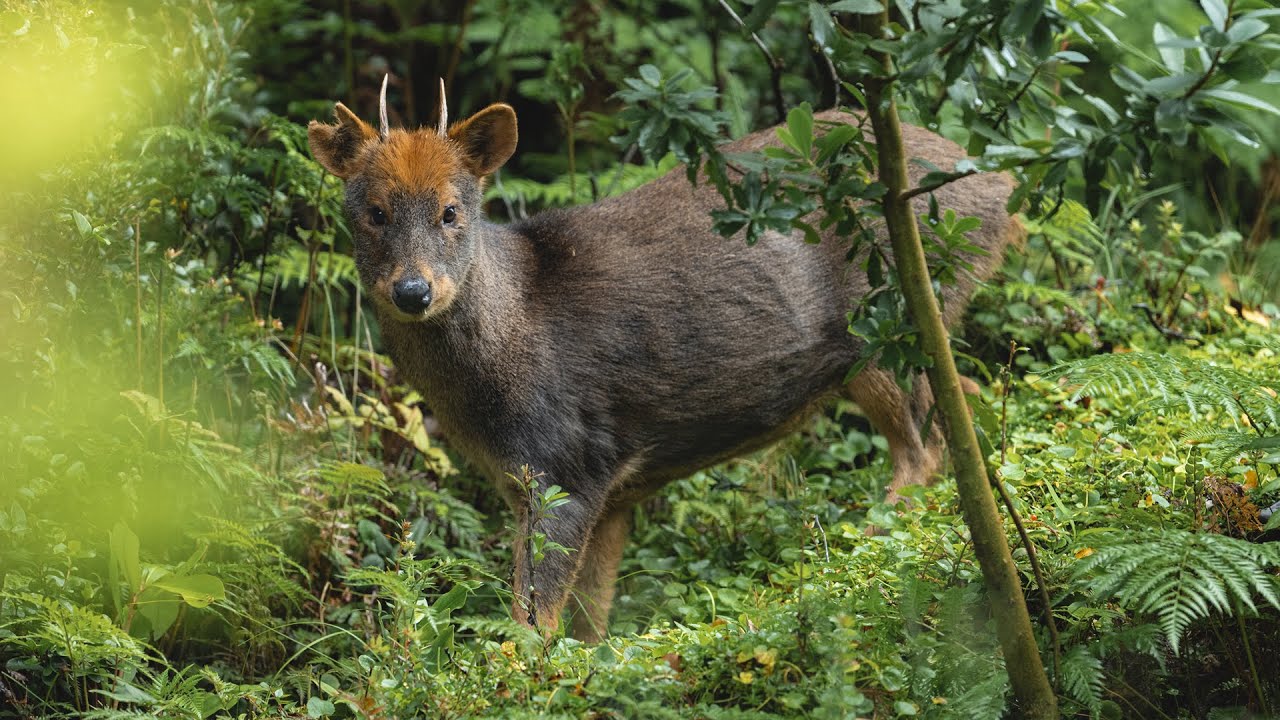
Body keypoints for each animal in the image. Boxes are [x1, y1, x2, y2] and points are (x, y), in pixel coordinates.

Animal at [307, 77, 1016, 642]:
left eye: (452, 210)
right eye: (375, 212)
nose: (413, 290)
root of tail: (1000, 185)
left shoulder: (566, 462)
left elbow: (533, 620)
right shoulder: (599, 489)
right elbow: (587, 622)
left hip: (887, 324)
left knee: (924, 447)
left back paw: (844, 560)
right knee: (969, 399)